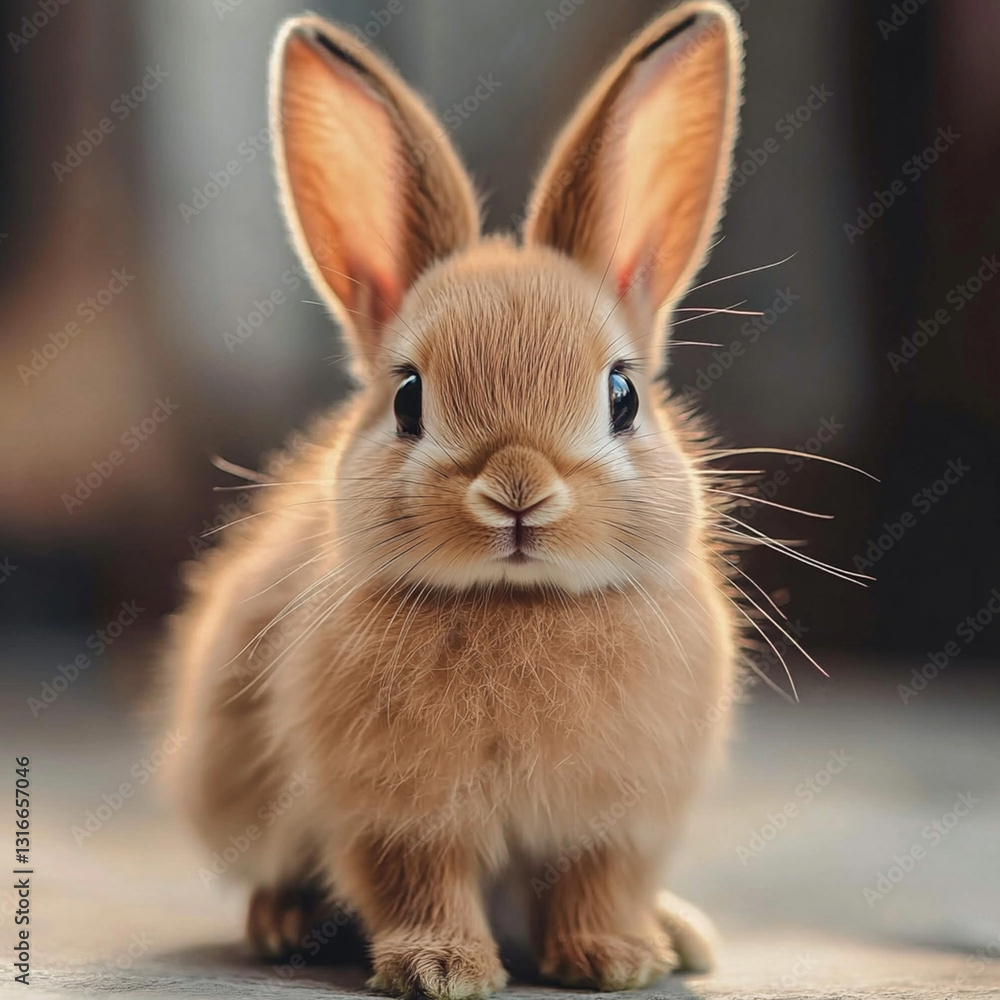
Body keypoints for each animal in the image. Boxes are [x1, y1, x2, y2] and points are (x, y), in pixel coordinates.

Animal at [164, 2, 746, 996]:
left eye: (622, 395)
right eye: (408, 399)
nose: (518, 491)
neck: (518, 603)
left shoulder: (615, 822)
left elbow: (597, 881)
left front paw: (614, 958)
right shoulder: (397, 817)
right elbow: (419, 884)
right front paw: (442, 970)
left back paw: (678, 935)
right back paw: (281, 924)